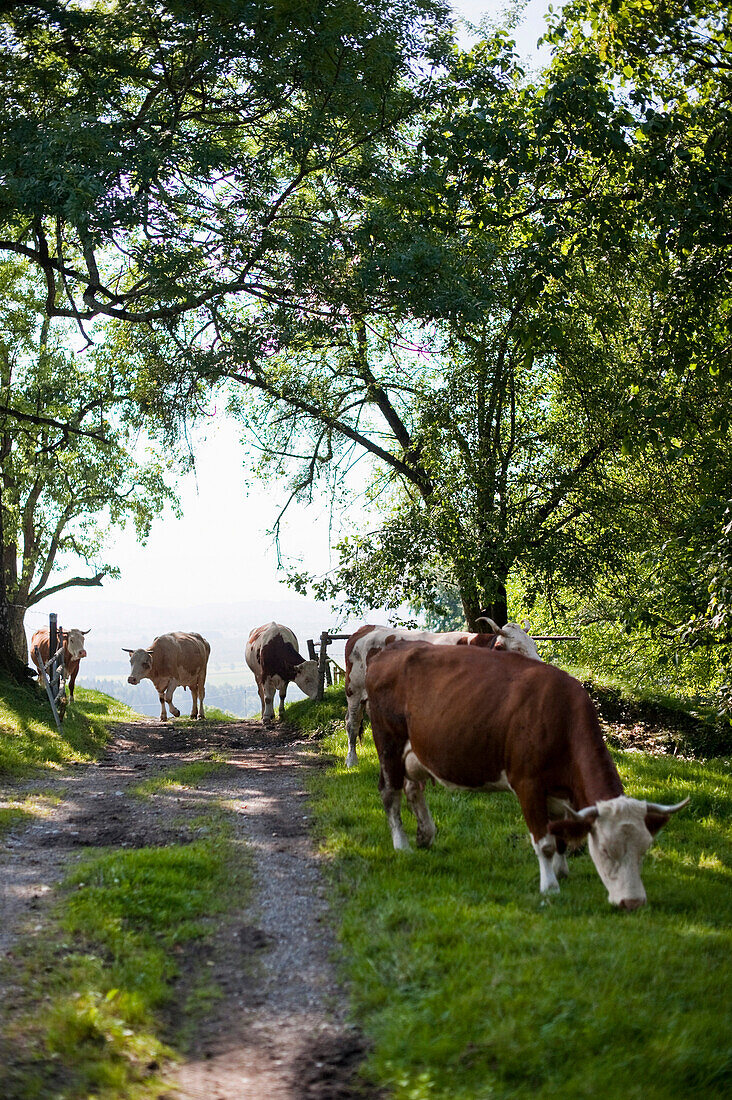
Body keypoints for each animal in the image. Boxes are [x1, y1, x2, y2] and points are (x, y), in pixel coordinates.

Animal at [339, 624, 539, 770]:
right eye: (518, 649)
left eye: (534, 645)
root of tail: (365, 629)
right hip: (354, 691)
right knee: (352, 724)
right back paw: (351, 760)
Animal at [367, 642, 686, 906]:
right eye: (606, 851)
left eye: (644, 849)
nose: (633, 902)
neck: (561, 717)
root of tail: (391, 648)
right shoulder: (528, 783)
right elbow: (544, 842)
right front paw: (550, 886)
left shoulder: (561, 793)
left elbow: (561, 834)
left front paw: (562, 870)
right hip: (388, 743)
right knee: (390, 793)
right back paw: (402, 845)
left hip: (414, 752)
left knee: (413, 789)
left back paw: (426, 835)